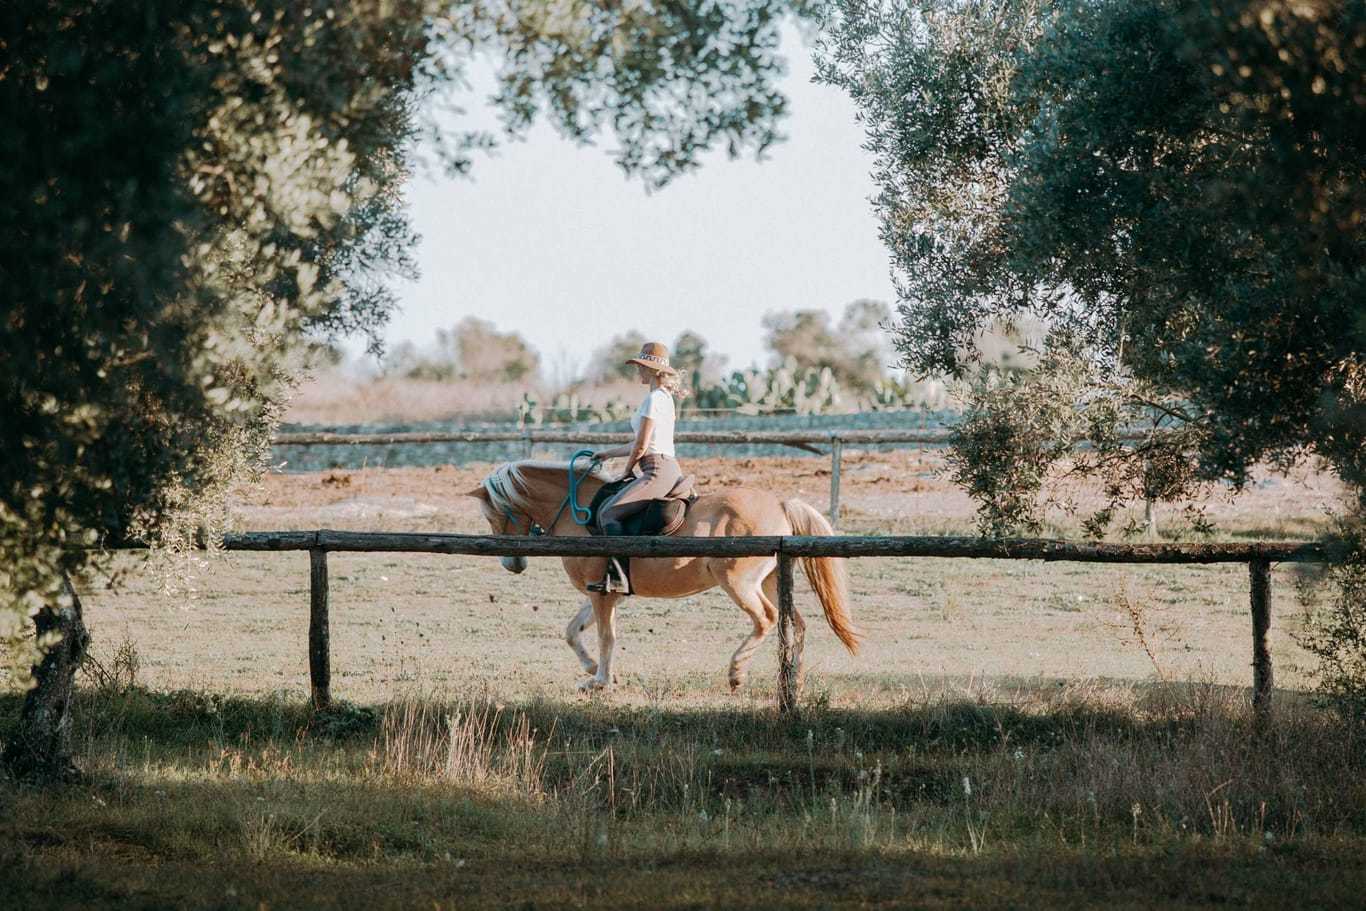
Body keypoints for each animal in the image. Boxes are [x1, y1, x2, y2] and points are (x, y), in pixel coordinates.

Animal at [464, 464, 857, 691]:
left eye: (494, 514)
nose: (512, 564)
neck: (576, 510)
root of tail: (779, 504)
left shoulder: (602, 595)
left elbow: (606, 636)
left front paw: (600, 681)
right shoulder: (603, 592)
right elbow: (573, 631)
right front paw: (594, 670)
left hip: (739, 582)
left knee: (767, 619)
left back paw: (737, 672)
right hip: (772, 580)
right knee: (795, 624)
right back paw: (793, 677)